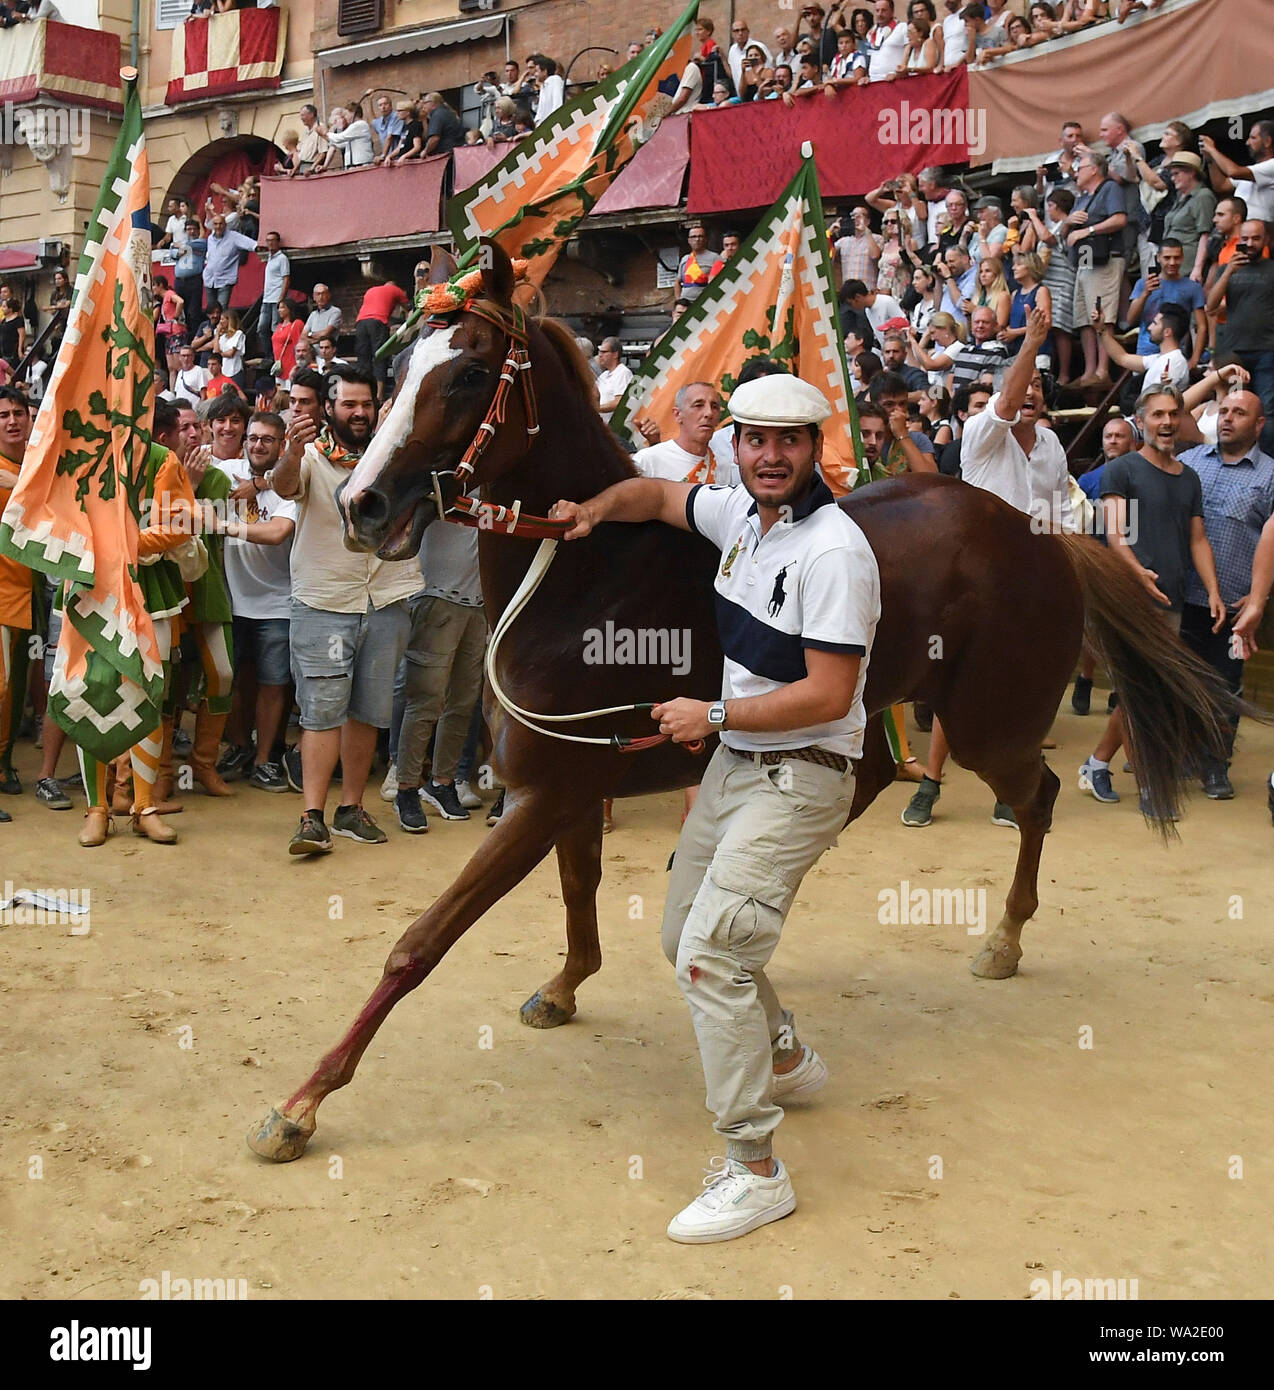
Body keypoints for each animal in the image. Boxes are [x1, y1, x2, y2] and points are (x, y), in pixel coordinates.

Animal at [248, 247, 1233, 1162]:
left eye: (464, 372)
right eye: (400, 368)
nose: (362, 503)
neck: (583, 577)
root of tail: (1040, 529)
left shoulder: (541, 794)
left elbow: (422, 941)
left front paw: (301, 1103)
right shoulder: (567, 788)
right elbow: (578, 889)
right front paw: (565, 986)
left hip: (992, 722)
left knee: (1036, 798)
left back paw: (1004, 940)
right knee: (875, 779)